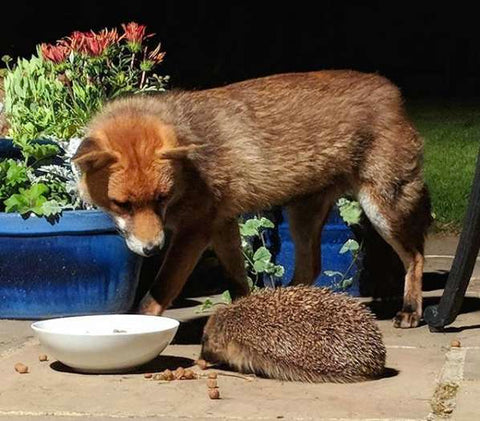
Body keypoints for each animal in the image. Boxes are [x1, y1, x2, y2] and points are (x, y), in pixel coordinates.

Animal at [72, 70, 432, 326]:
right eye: (122, 204)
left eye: (161, 198)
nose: (152, 249)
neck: (190, 173)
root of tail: (391, 90)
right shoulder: (221, 224)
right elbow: (237, 281)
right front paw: (245, 313)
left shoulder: (196, 229)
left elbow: (160, 290)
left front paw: (137, 326)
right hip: (301, 216)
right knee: (311, 267)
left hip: (382, 210)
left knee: (415, 257)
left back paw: (410, 310)